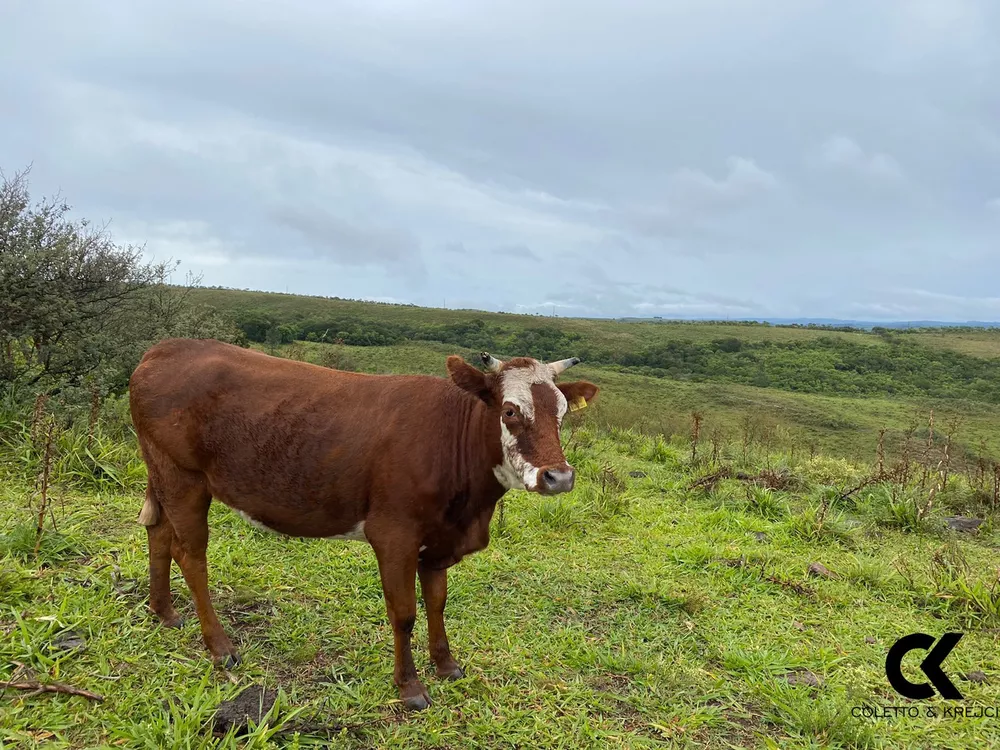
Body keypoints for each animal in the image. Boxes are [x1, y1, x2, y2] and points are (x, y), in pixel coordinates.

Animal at [128, 340, 596, 712]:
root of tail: (165, 348)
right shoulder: (394, 534)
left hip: (161, 472)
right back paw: (220, 647)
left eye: (562, 413)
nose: (558, 477)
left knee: (159, 533)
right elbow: (404, 613)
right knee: (190, 554)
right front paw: (410, 687)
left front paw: (446, 665)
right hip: (183, 476)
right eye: (511, 410)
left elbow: (438, 602)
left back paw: (164, 612)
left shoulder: (439, 538)